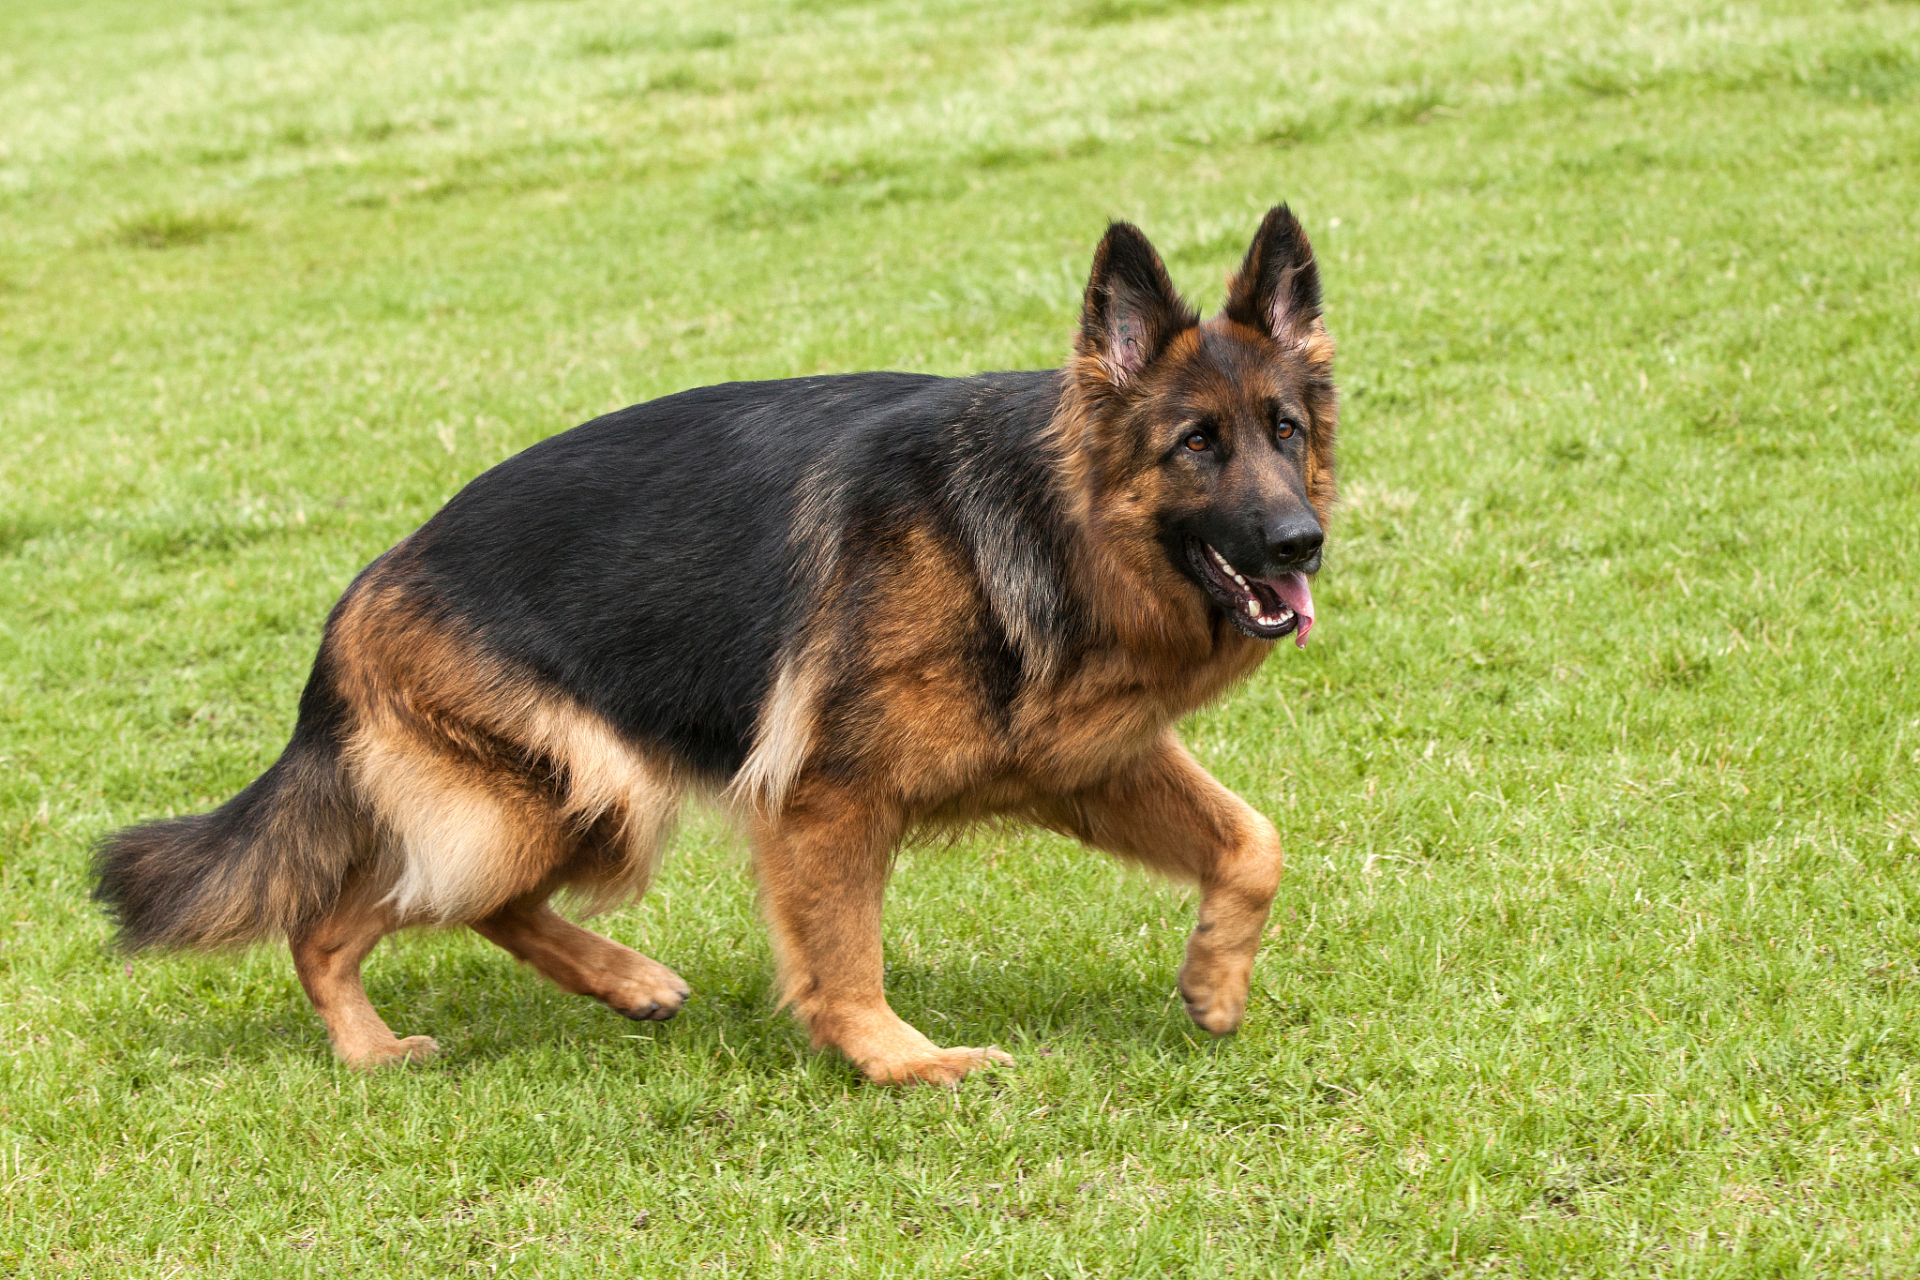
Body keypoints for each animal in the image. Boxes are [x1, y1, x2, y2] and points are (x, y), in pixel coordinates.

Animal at [93, 205, 1336, 1090]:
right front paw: (902, 1060)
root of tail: (358, 595)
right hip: (576, 794)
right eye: (1195, 444)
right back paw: (375, 1044)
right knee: (343, 914)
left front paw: (1214, 983)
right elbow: (845, 958)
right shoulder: (826, 800)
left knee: (457, 905)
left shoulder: (1087, 762)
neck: (1039, 517)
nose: (1303, 542)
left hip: (566, 807)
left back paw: (624, 984)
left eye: (1285, 432)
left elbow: (1255, 841)